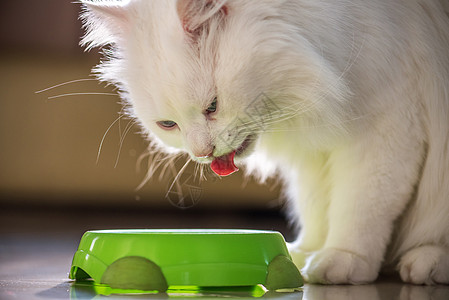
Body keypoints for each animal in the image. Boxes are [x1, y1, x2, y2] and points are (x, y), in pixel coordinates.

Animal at [80, 0, 448, 284]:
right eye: (168, 124)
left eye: (213, 106)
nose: (202, 153)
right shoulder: (316, 156)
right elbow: (318, 207)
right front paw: (304, 253)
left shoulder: (385, 126)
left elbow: (360, 206)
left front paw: (341, 258)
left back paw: (426, 263)